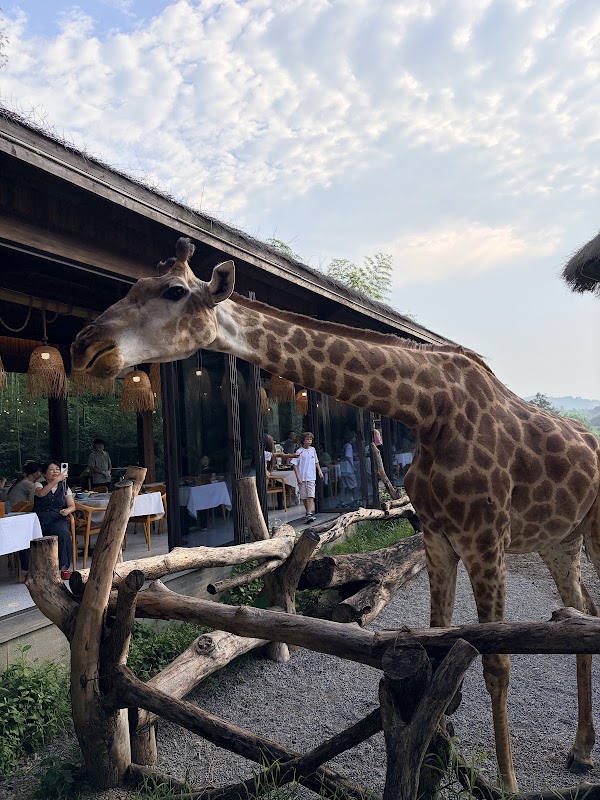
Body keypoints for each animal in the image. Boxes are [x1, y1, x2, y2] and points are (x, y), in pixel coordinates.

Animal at [71, 238, 600, 792]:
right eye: (135, 285)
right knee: (579, 608)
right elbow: (439, 640)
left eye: (174, 291)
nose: (85, 345)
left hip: (591, 532)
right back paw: (581, 751)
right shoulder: (439, 537)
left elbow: (497, 663)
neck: (429, 411)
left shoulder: (485, 538)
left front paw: (507, 784)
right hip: (559, 541)